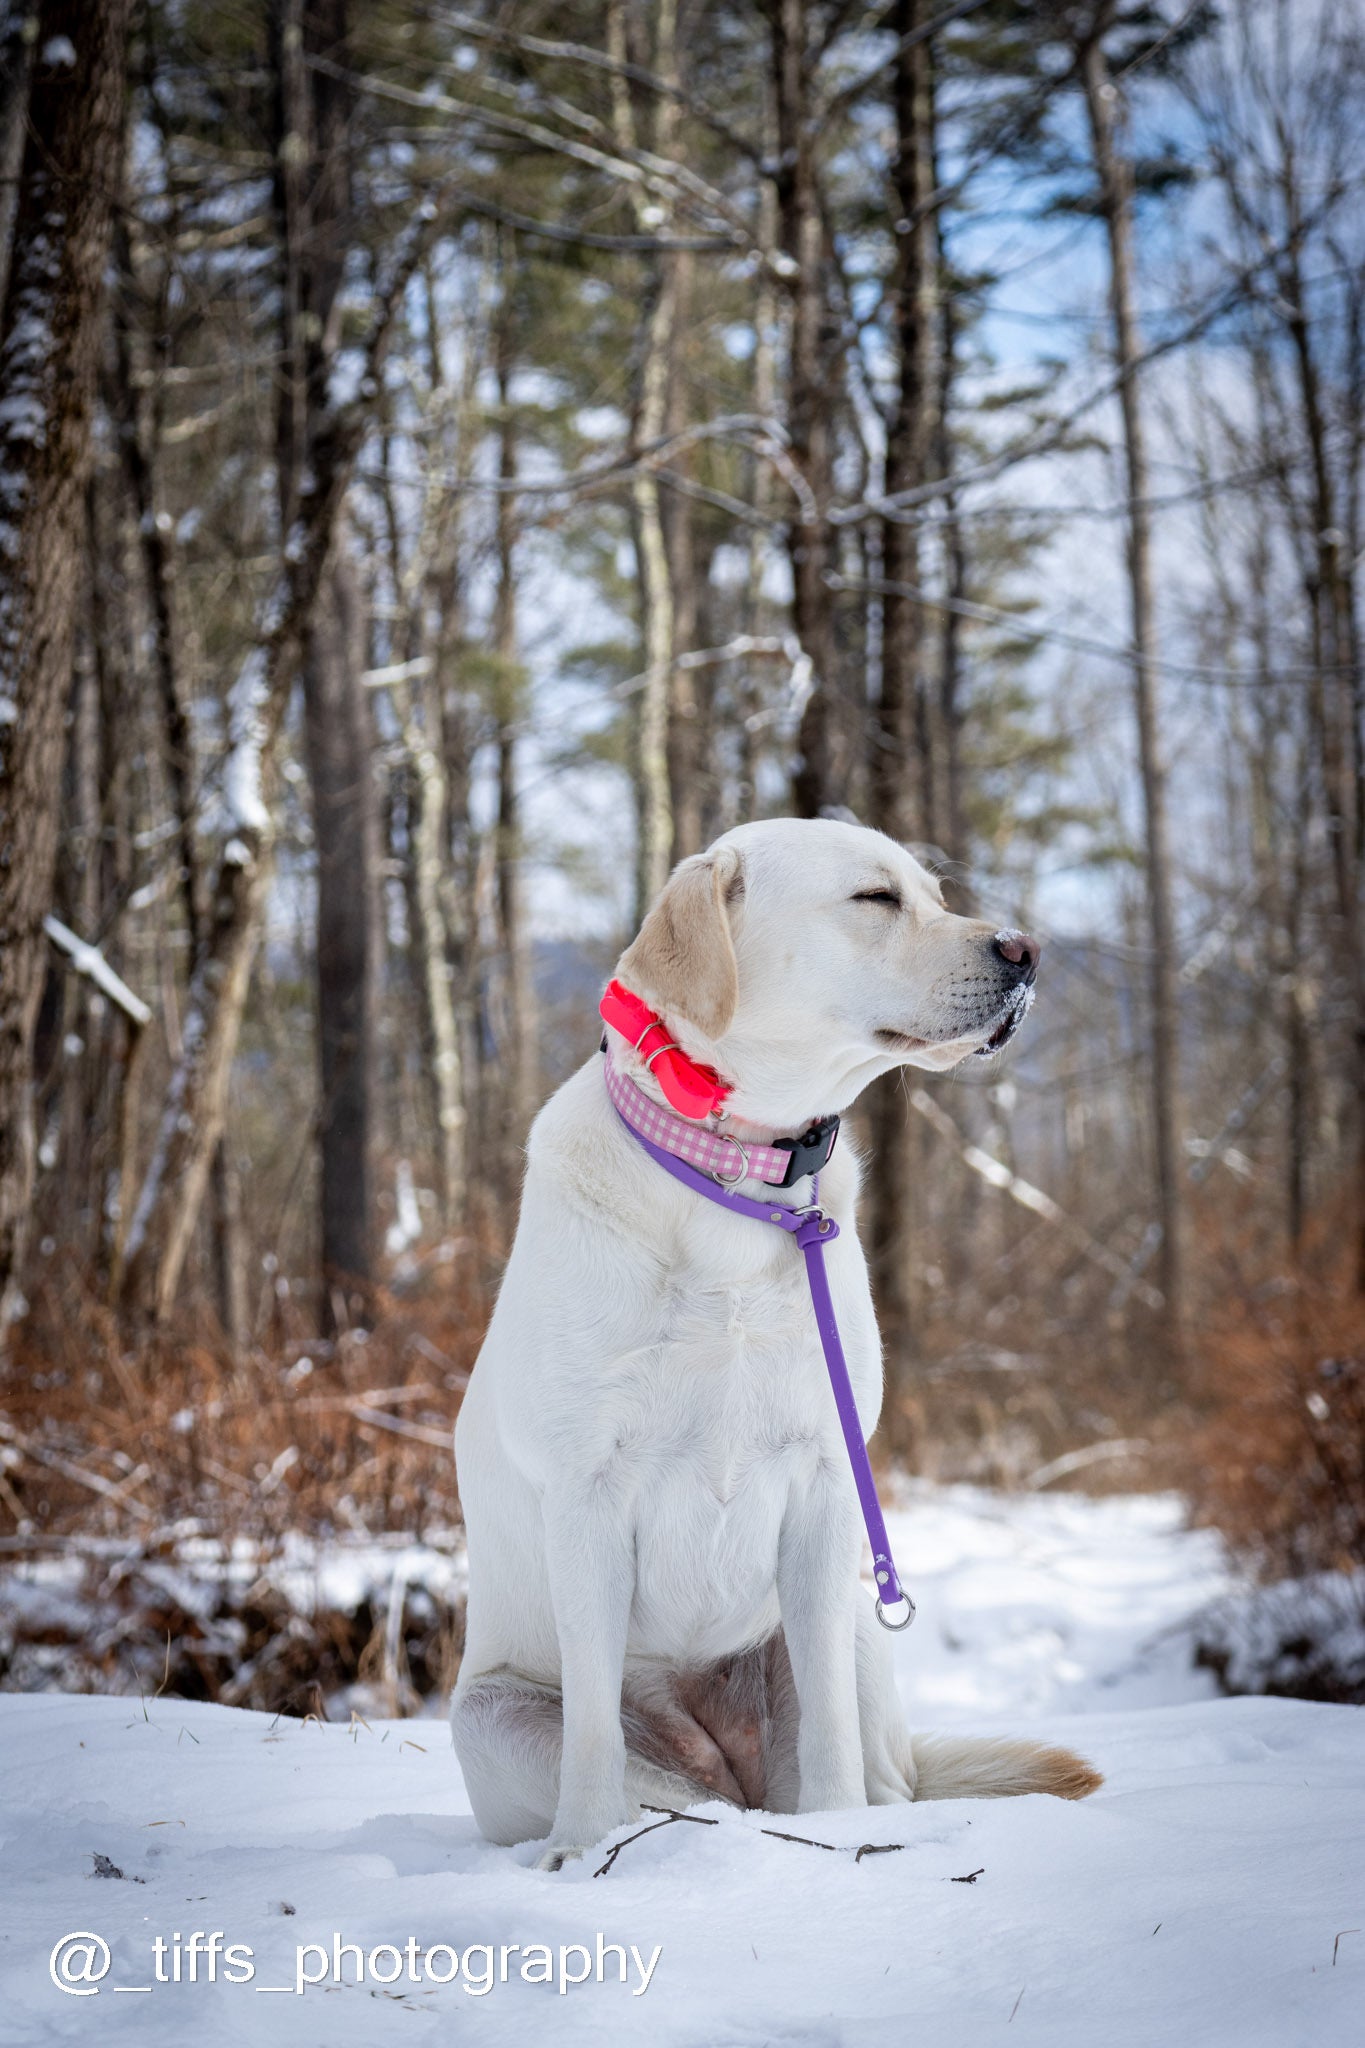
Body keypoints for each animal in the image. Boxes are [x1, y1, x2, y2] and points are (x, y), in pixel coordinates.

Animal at [454, 806, 1105, 1867]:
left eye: (932, 894)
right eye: (875, 898)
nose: (1026, 949)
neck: (736, 1175)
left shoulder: (826, 1483)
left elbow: (829, 1735)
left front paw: (837, 1842)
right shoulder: (586, 1496)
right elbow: (591, 1730)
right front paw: (580, 1849)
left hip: (857, 1626)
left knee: (868, 1769)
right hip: (487, 1717)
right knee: (659, 1786)